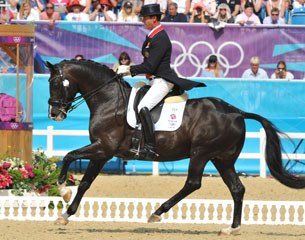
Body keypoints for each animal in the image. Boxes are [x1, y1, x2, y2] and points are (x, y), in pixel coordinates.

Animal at [44, 59, 304, 234]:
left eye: (55, 82)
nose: (54, 113)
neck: (109, 100)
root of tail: (237, 112)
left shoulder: (103, 148)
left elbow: (68, 156)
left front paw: (62, 189)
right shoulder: (102, 153)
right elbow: (85, 182)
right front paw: (65, 214)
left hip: (201, 153)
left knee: (193, 183)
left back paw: (157, 213)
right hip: (222, 158)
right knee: (237, 189)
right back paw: (231, 228)